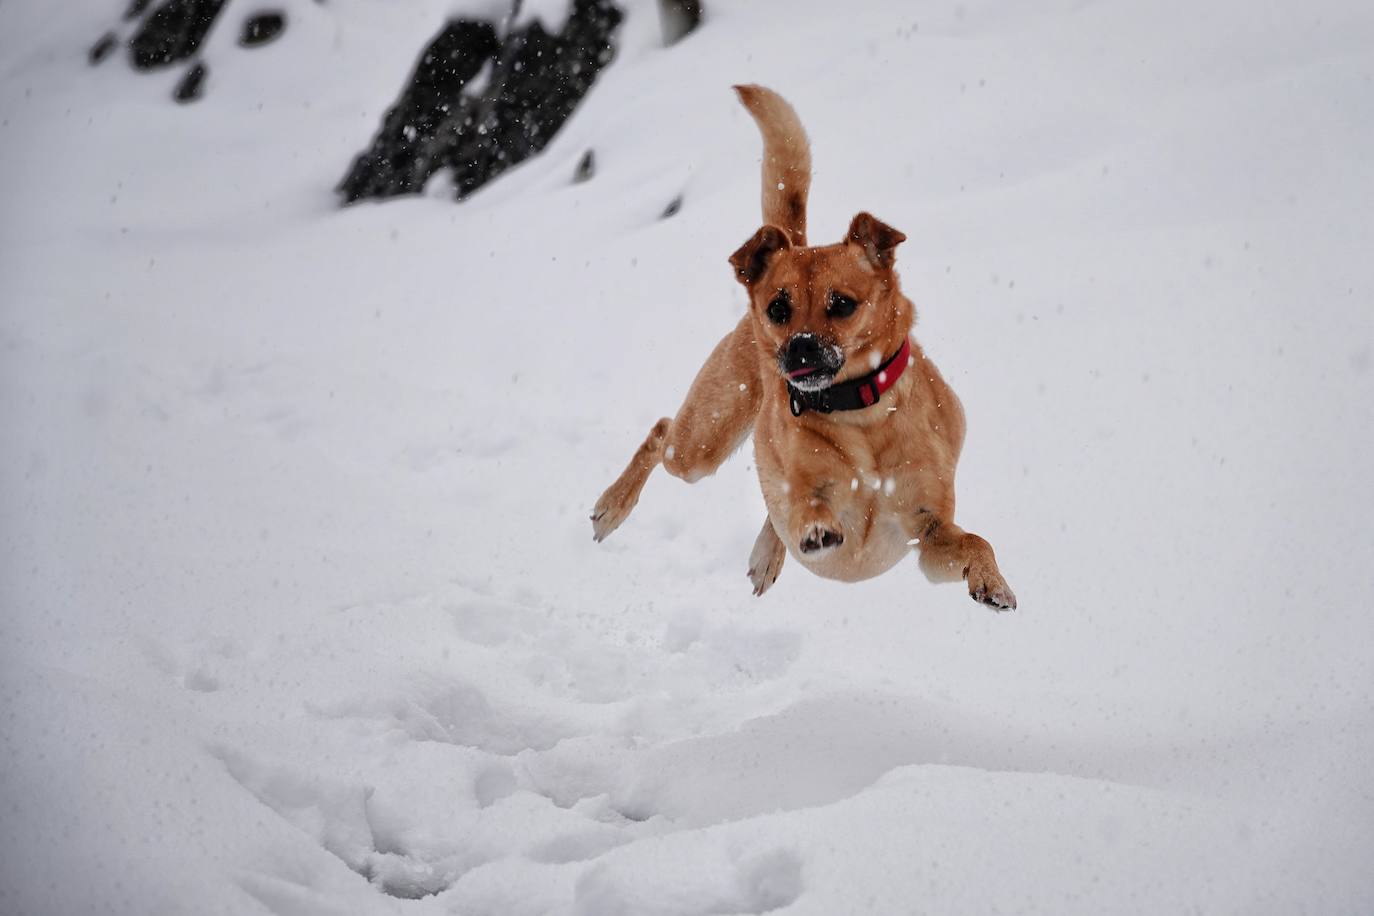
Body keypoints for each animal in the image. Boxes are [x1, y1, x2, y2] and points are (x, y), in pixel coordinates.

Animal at [585, 84, 1016, 609]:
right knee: (663, 431)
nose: (800, 349)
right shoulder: (806, 485)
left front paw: (992, 581)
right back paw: (611, 508)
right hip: (701, 444)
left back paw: (765, 555)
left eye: (842, 303)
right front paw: (815, 528)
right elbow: (806, 504)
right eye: (778, 308)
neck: (863, 417)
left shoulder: (927, 532)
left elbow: (976, 540)